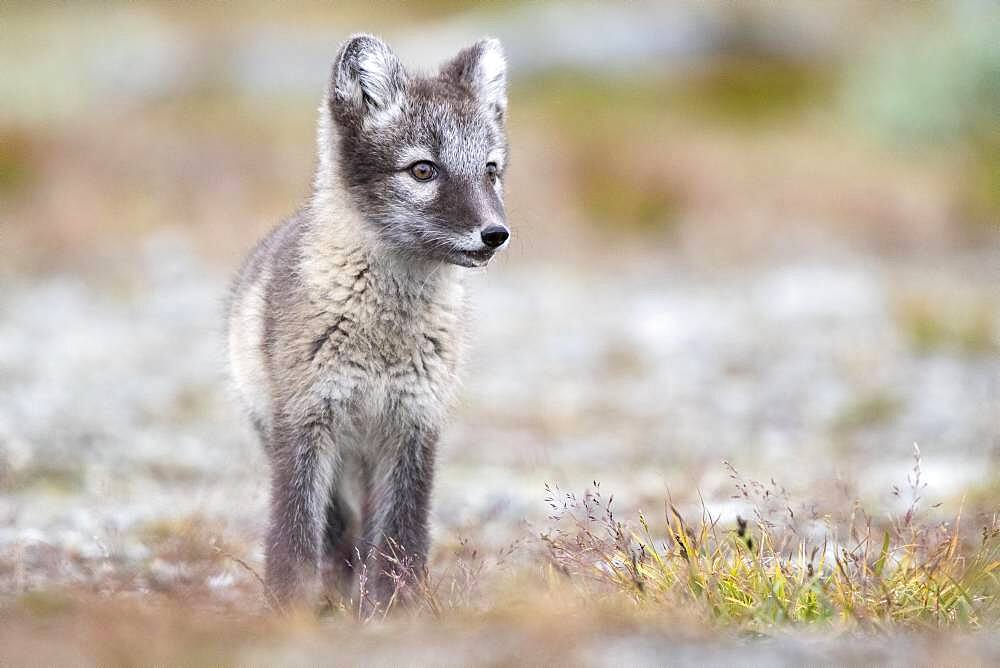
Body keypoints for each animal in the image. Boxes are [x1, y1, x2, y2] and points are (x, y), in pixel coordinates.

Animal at [226, 35, 508, 612]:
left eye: (490, 169)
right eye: (423, 170)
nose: (496, 234)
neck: (383, 337)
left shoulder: (414, 424)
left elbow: (402, 539)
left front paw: (395, 612)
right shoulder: (306, 422)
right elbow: (293, 538)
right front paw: (291, 612)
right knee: (338, 536)